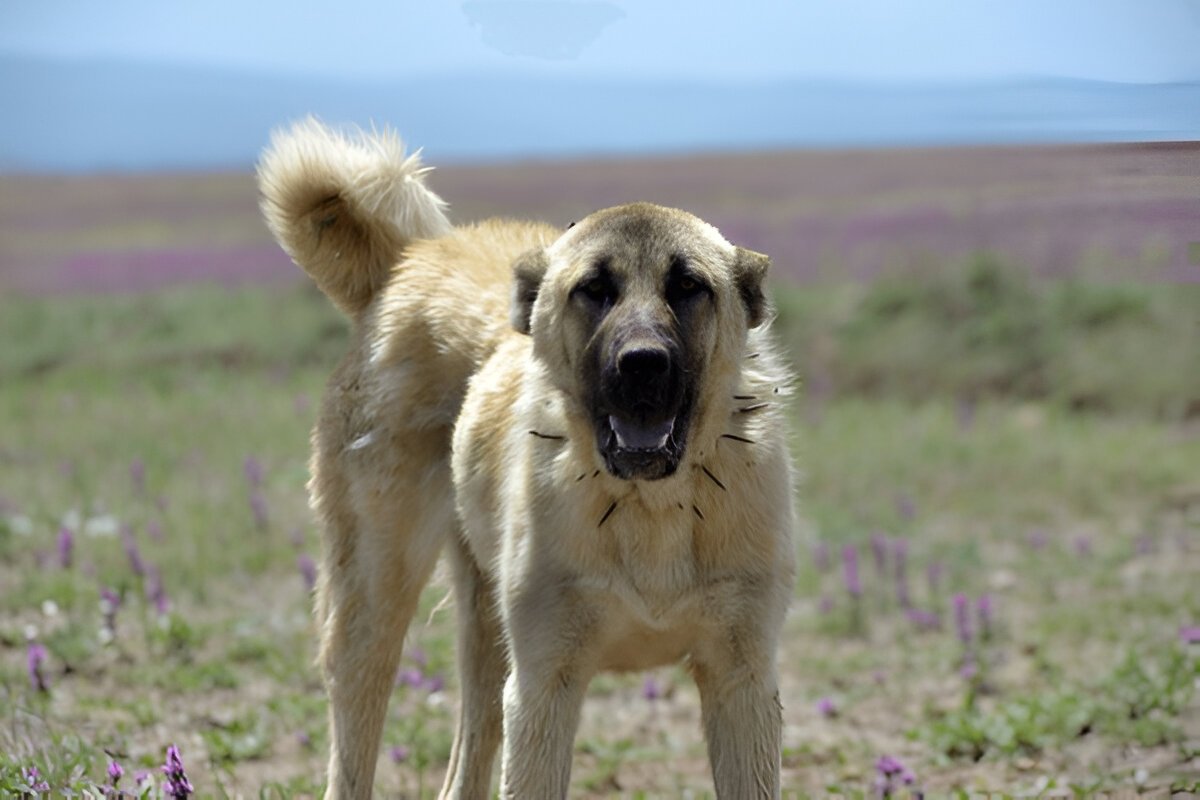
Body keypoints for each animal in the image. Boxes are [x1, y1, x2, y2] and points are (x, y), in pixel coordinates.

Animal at [258, 118, 796, 800]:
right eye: (594, 289)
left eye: (687, 287)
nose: (643, 364)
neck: (651, 508)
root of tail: (411, 260)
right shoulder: (544, 686)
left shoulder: (741, 682)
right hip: (373, 606)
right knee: (357, 730)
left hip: (484, 631)